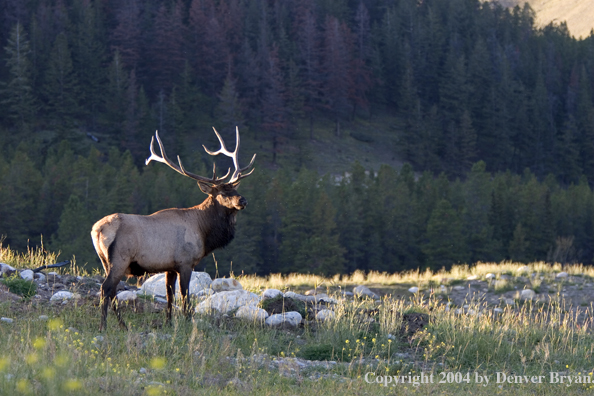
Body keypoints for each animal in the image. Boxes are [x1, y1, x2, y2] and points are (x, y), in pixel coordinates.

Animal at [91, 127, 254, 332]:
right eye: (223, 193)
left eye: (235, 189)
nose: (243, 200)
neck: (203, 232)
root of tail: (97, 230)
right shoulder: (186, 262)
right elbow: (185, 295)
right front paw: (188, 322)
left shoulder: (170, 267)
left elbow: (170, 296)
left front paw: (168, 323)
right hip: (120, 258)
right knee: (106, 288)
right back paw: (103, 326)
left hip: (105, 260)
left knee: (111, 290)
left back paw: (123, 325)